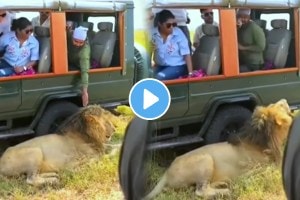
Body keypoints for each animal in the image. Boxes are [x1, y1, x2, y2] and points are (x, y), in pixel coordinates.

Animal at [144, 99, 294, 199]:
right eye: (280, 105)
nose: (285, 100)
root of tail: (166, 172)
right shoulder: (256, 167)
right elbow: (269, 170)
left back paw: (222, 183)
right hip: (205, 159)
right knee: (200, 191)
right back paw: (226, 191)